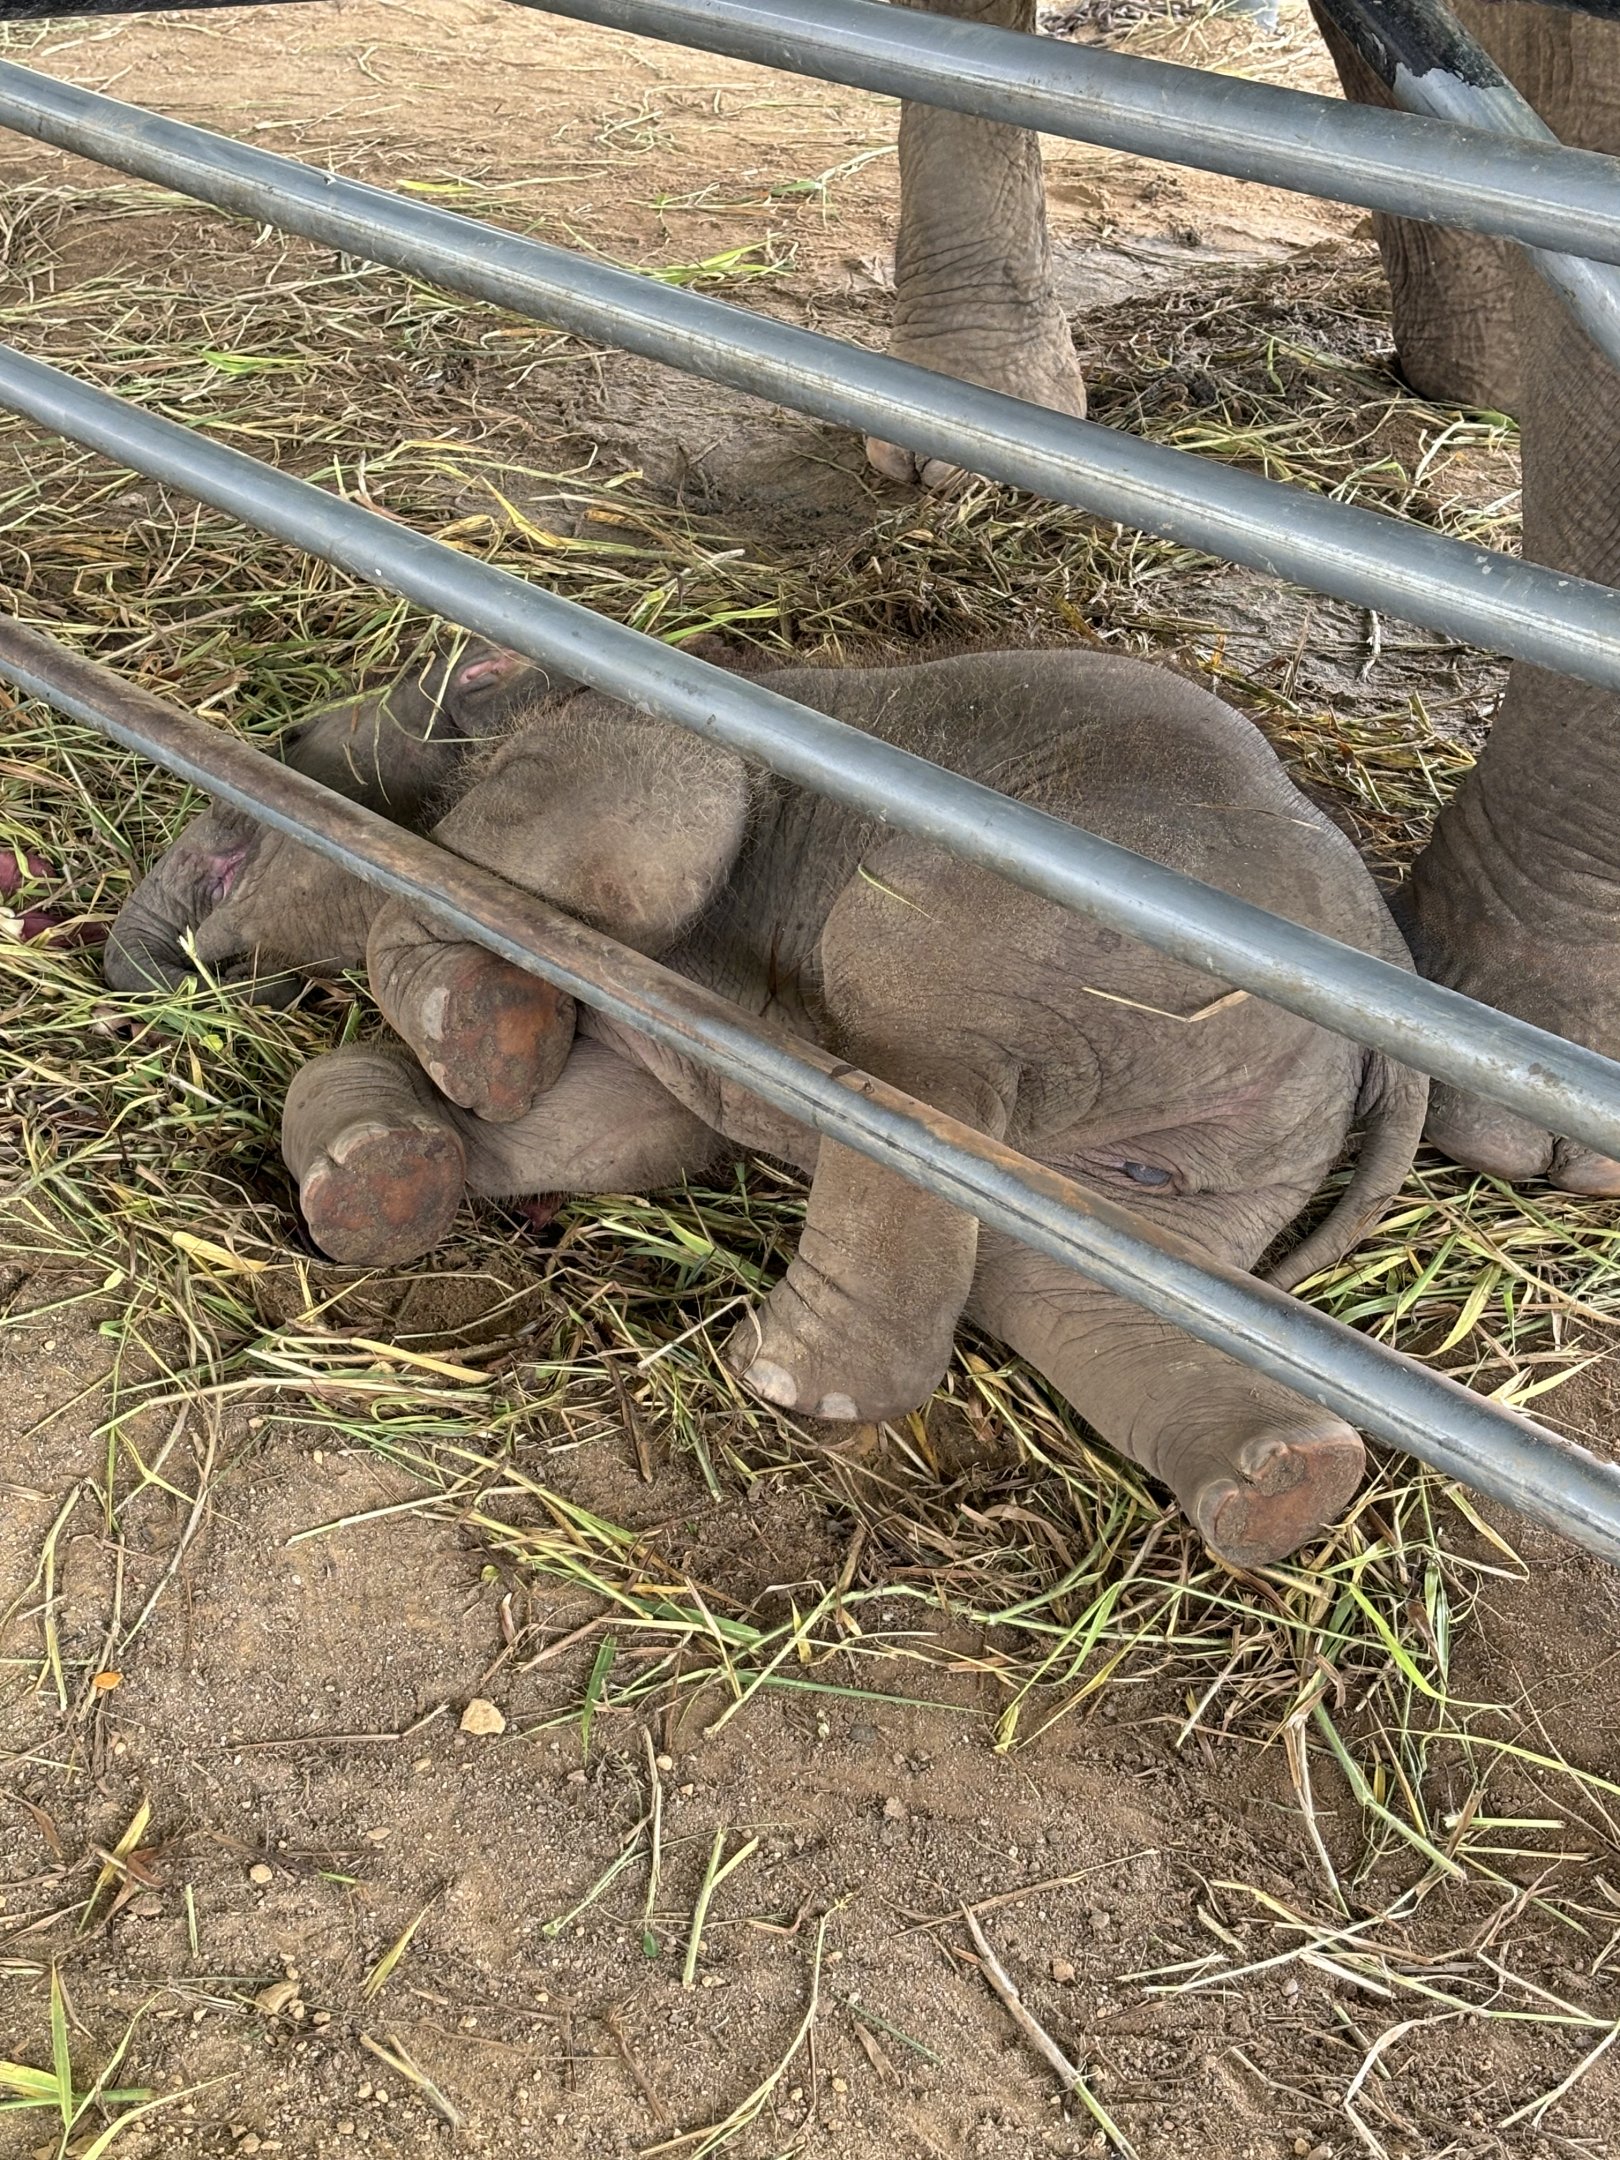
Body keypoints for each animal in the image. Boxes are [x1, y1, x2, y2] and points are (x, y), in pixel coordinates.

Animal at [107, 638, 1427, 1569]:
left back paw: (790, 1377)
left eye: (260, 777)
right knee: (1061, 1280)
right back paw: (1284, 1486)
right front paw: (382, 1172)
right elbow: (601, 1134)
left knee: (923, 1069)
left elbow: (639, 843)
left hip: (1018, 934)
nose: (134, 976)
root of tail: (1380, 962)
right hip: (1223, 1148)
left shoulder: (616, 744)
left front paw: (477, 1039)